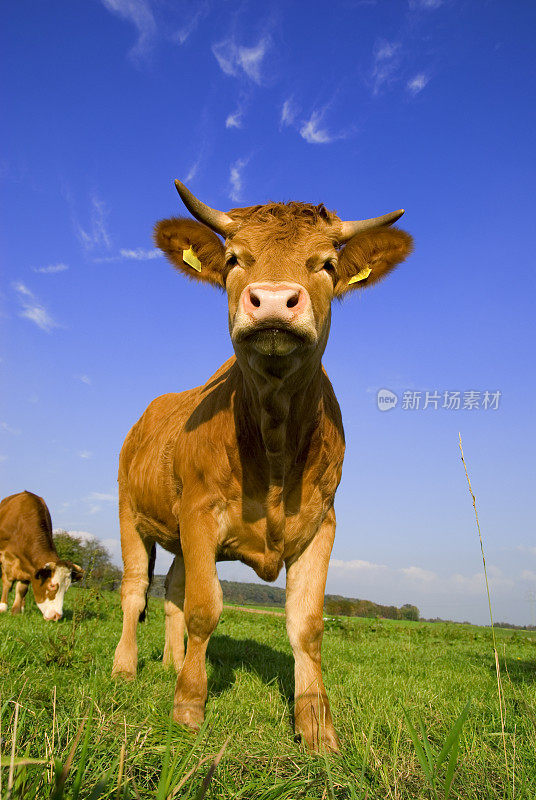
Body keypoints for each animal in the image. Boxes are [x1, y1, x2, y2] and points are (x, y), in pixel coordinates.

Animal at [0, 490, 84, 620]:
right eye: (52, 585)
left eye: (66, 589)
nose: (56, 616)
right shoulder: (6, 557)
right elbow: (7, 583)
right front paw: (3, 607)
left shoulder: (29, 566)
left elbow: (22, 589)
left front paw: (16, 611)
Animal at [113, 181, 412, 752]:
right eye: (233, 259)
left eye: (327, 264)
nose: (273, 299)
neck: (273, 443)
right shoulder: (200, 513)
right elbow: (206, 608)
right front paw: (189, 707)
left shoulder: (321, 524)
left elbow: (307, 625)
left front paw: (317, 729)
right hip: (128, 514)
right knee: (135, 589)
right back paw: (126, 668)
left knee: (171, 593)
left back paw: (171, 664)